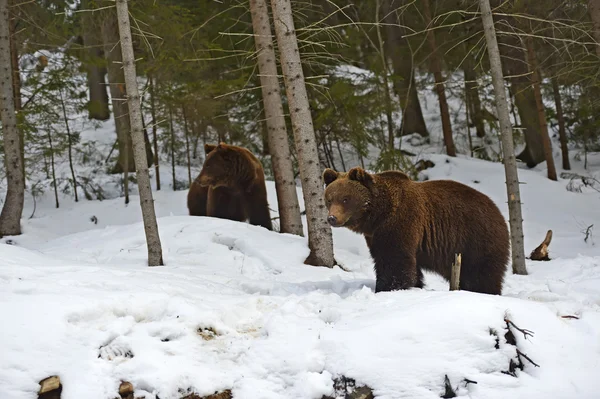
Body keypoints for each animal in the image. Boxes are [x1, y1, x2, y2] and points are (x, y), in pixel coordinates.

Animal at [324, 167, 510, 296]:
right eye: (329, 199)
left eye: (345, 199)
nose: (332, 218)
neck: (379, 214)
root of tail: (498, 212)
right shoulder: (376, 235)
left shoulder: (401, 223)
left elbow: (395, 262)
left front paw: (388, 288)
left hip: (476, 239)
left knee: (481, 275)